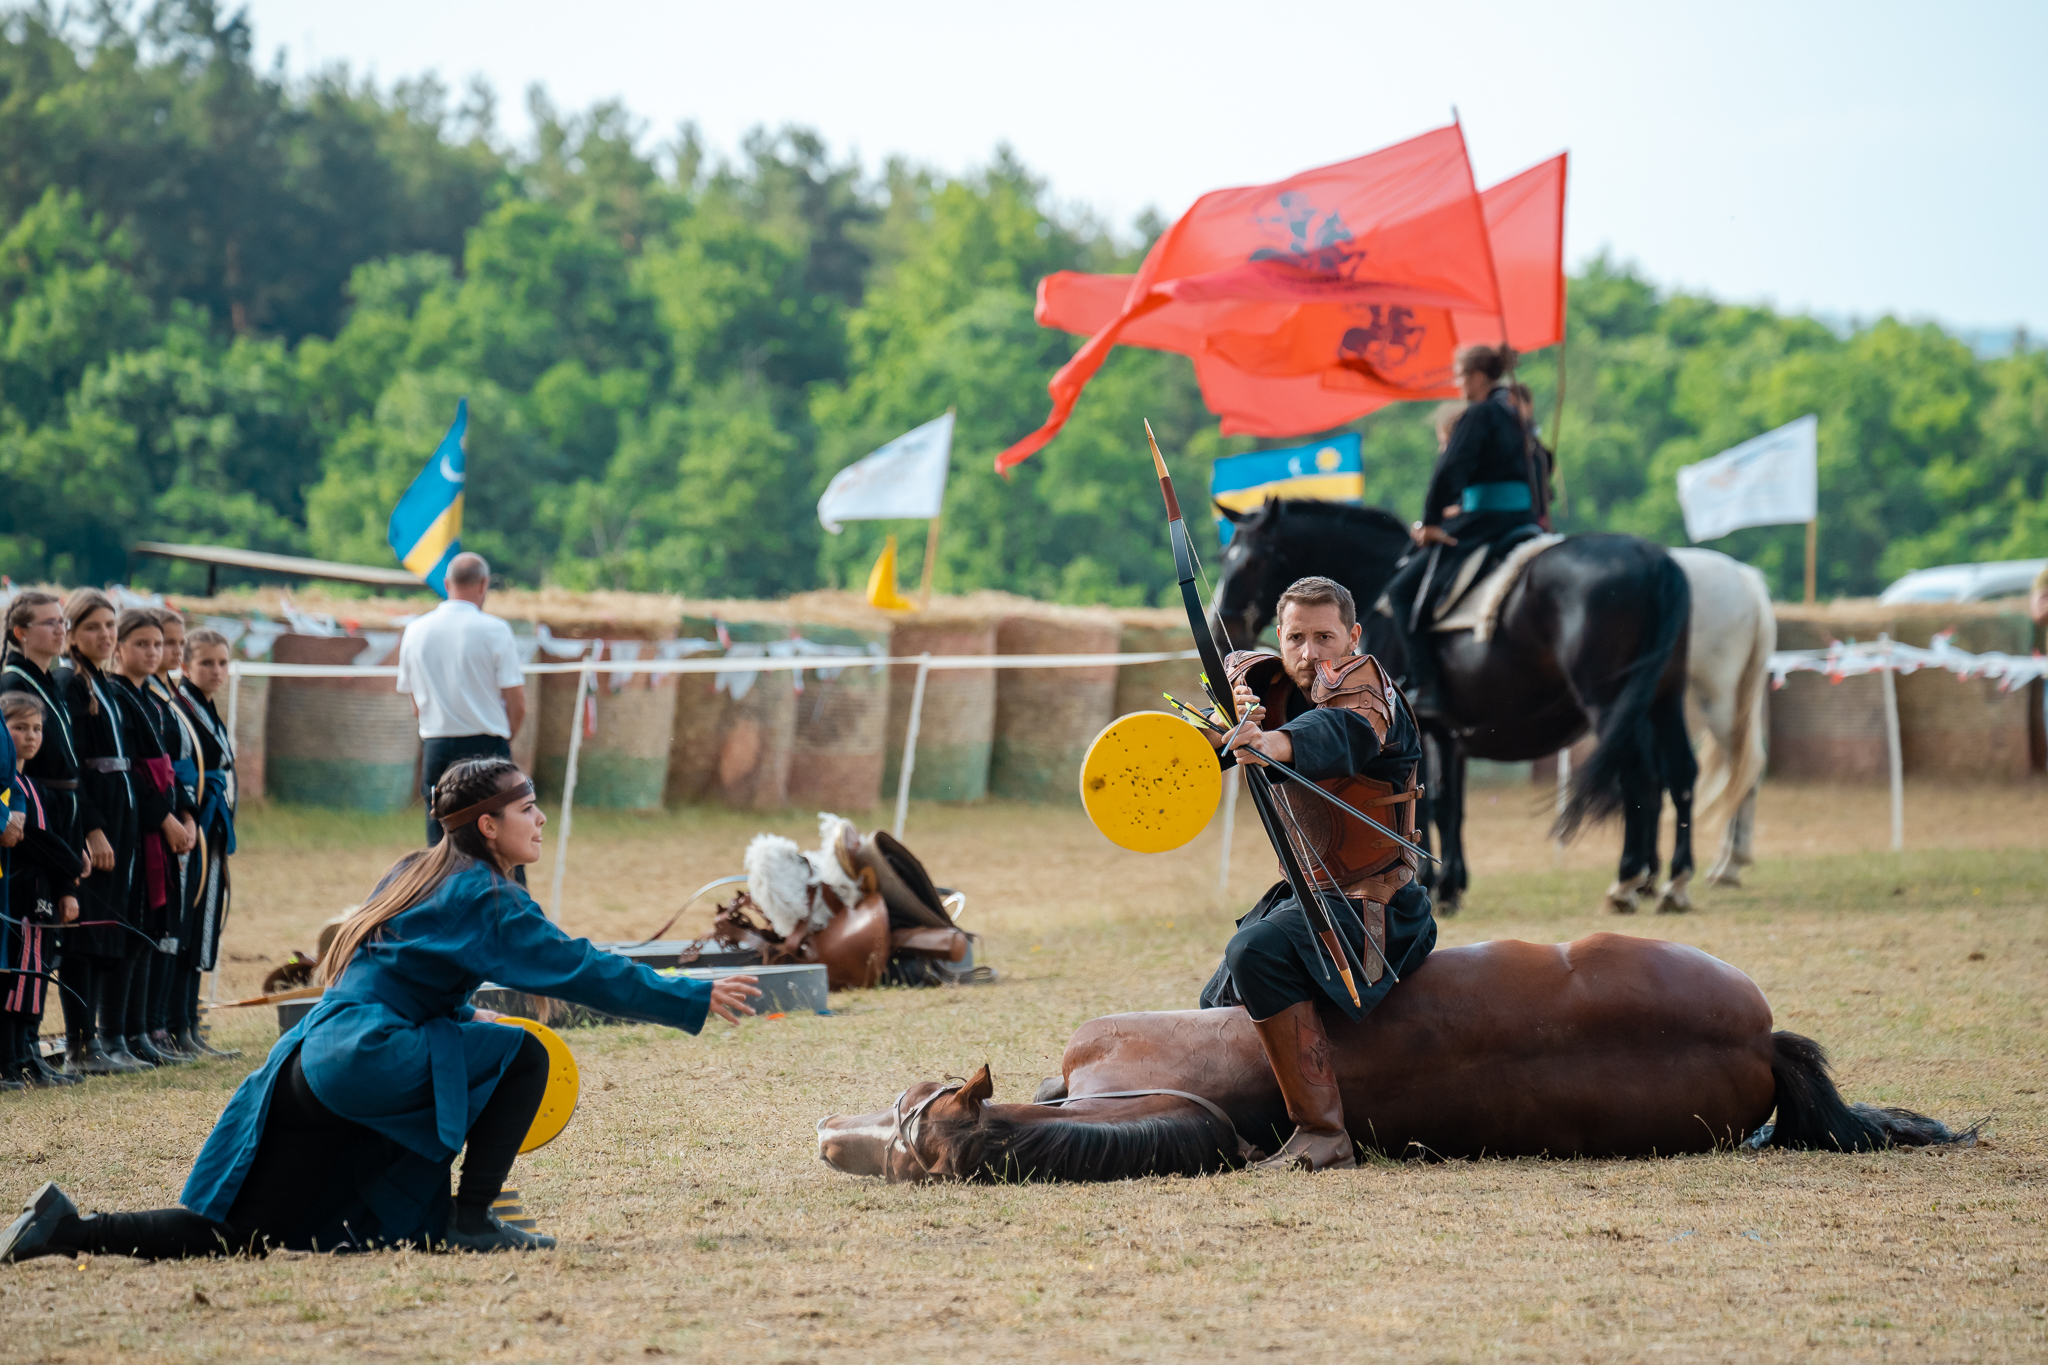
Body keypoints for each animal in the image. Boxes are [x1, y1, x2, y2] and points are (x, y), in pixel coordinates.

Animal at [1212, 497, 1695, 912]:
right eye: (1224, 557)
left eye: (1251, 559)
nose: (1221, 631)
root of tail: (1656, 561)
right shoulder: (1449, 732)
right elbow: (1450, 805)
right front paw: (1450, 883)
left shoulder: (1422, 725)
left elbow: (1427, 801)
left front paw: (1432, 881)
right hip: (1663, 699)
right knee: (1678, 774)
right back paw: (1671, 881)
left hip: (1609, 703)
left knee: (1640, 779)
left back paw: (1628, 880)